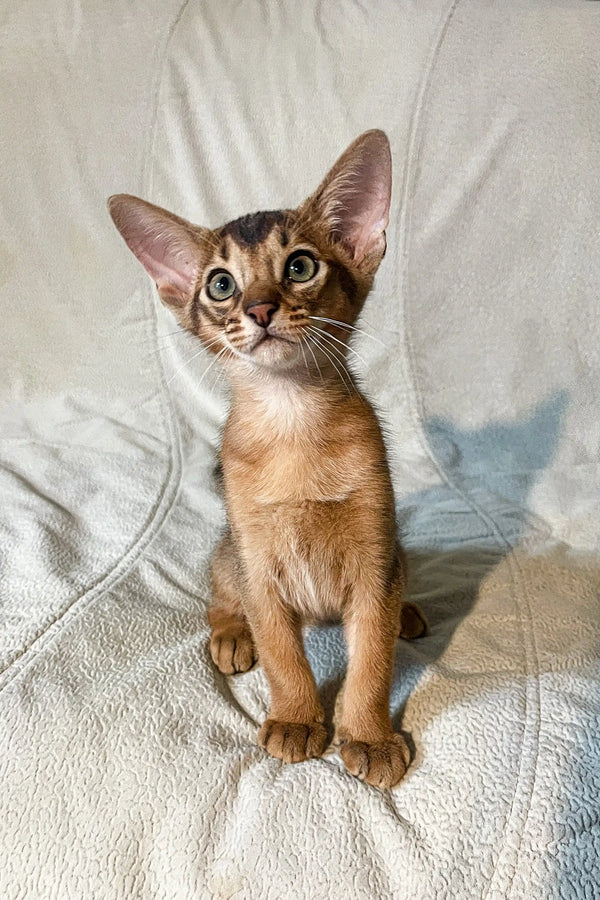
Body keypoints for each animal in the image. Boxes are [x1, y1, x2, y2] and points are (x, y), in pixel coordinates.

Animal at [108, 130, 426, 784]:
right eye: (220, 284)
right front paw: (298, 720)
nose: (258, 309)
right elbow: (282, 652)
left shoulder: (373, 553)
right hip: (231, 552)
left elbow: (372, 658)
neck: (293, 422)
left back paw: (407, 612)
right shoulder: (259, 562)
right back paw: (231, 636)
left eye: (300, 266)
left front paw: (369, 735)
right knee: (218, 593)